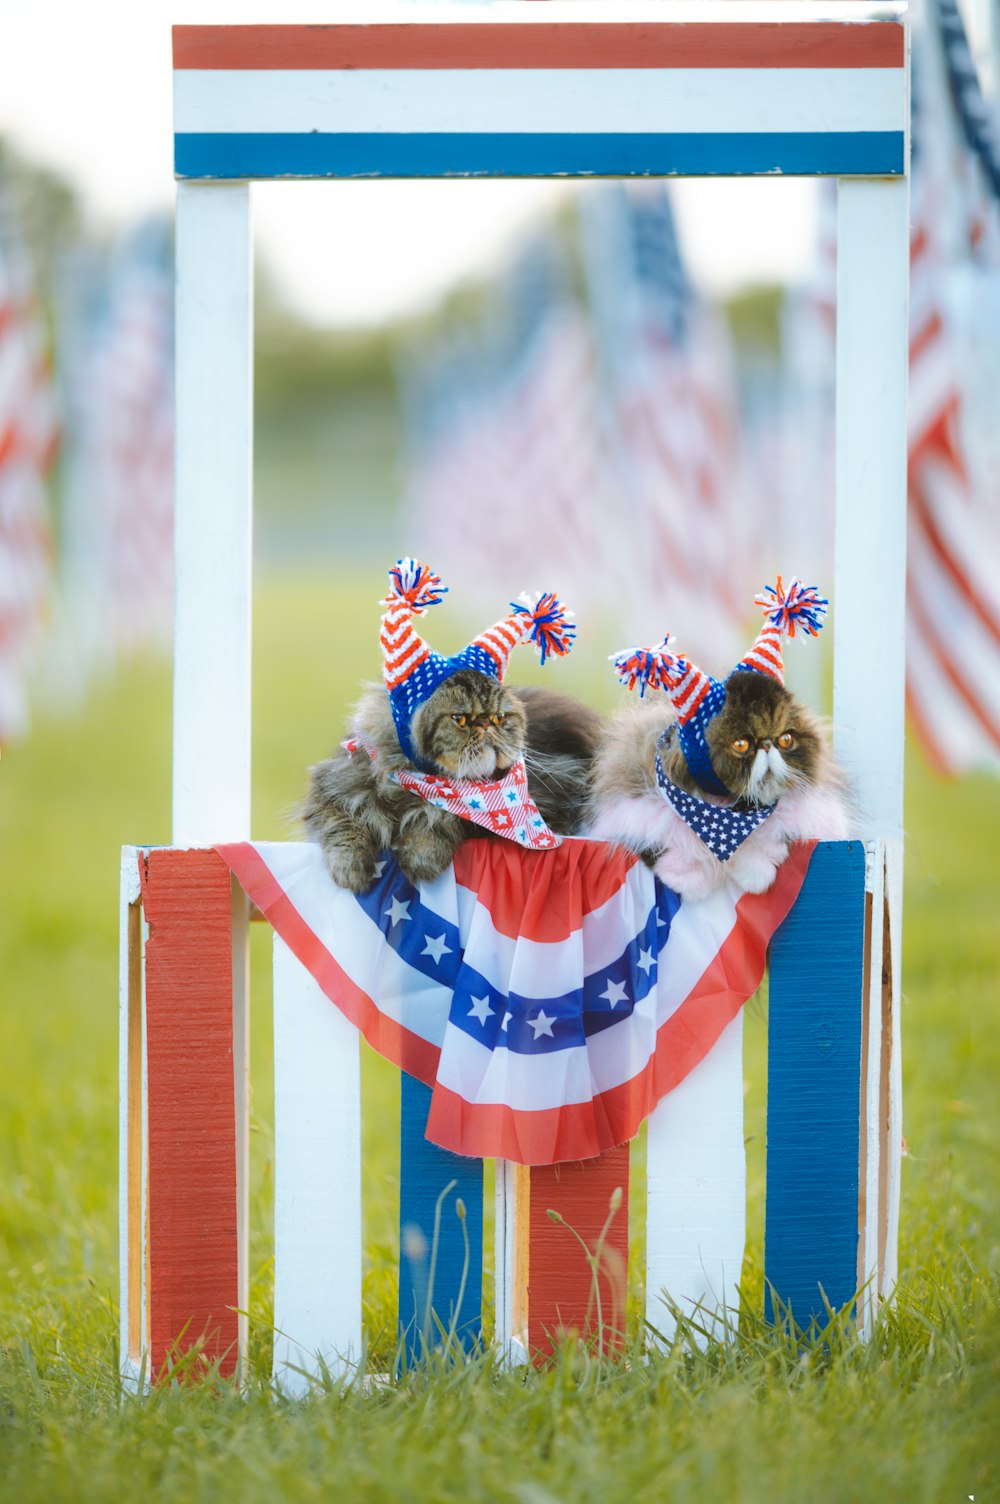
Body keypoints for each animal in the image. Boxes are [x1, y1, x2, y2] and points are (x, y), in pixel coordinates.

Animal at [302, 670, 601, 890]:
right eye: (461, 718)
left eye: (499, 717)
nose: (486, 725)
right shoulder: (331, 792)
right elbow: (344, 828)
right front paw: (350, 872)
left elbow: (444, 819)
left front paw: (421, 857)